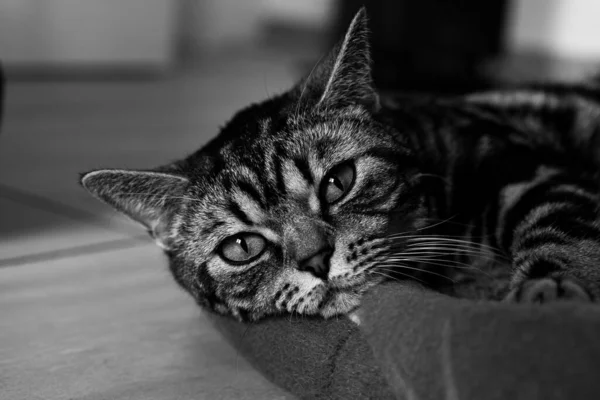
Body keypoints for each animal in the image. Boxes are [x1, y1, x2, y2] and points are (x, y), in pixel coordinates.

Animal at [81, 8, 600, 322]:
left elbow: (556, 223)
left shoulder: (526, 172)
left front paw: (550, 294)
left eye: (338, 182)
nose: (315, 260)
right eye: (242, 246)